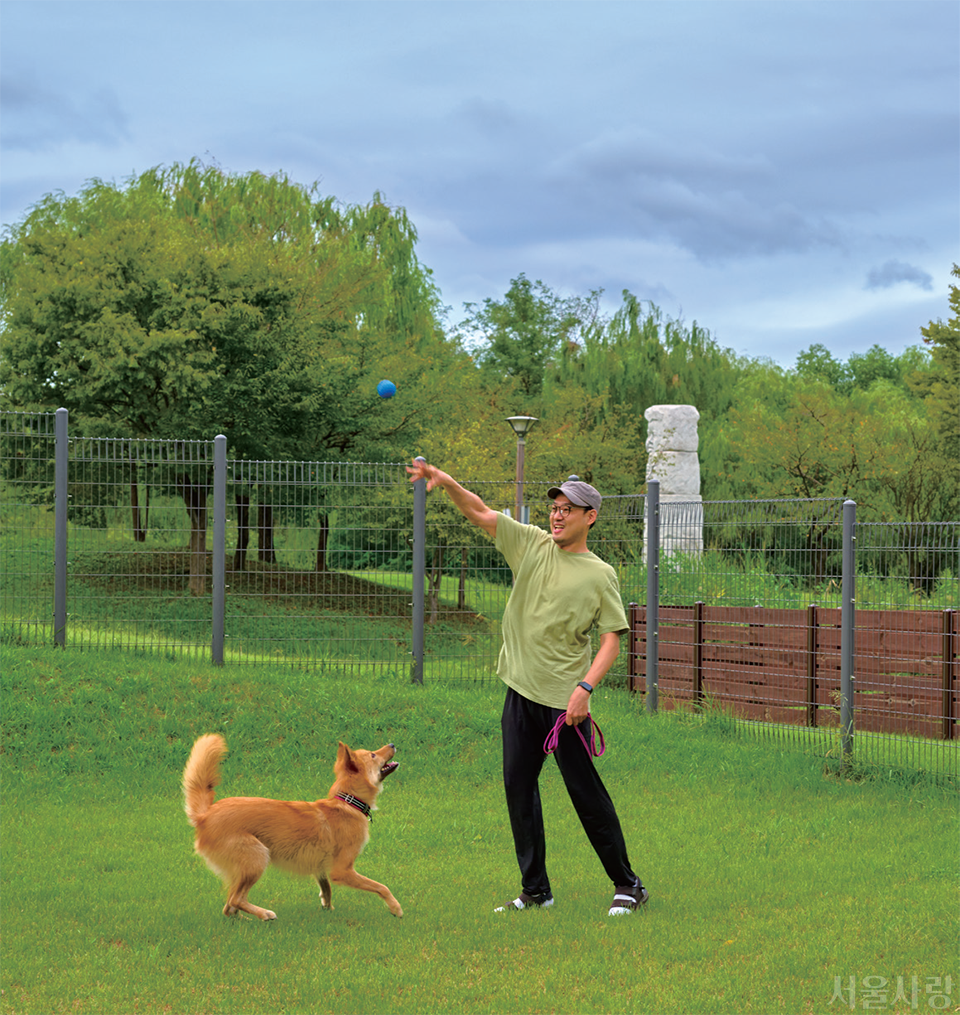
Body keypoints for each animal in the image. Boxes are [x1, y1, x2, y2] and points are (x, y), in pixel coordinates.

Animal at [182, 734, 399, 925]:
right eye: (373, 755)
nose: (392, 744)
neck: (348, 801)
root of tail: (205, 815)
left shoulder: (320, 866)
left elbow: (326, 888)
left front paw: (327, 908)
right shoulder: (343, 870)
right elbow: (382, 887)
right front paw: (395, 908)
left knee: (229, 906)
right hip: (257, 858)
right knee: (235, 899)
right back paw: (264, 914)